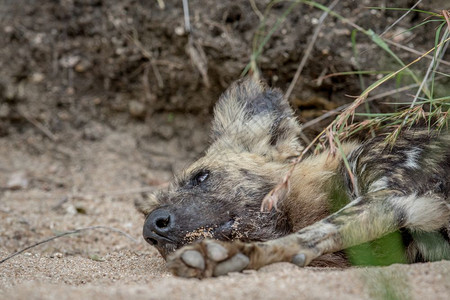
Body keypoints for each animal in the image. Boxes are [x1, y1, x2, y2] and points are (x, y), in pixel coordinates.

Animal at [136, 77, 450, 276]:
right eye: (150, 211)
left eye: (200, 177)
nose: (152, 226)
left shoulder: (390, 194)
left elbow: (307, 235)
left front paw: (223, 256)